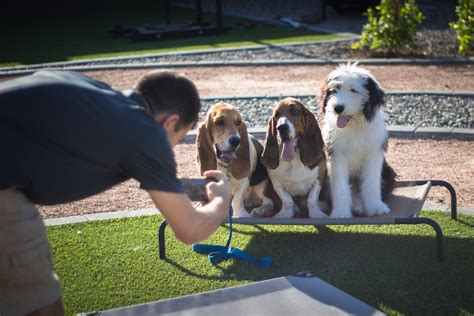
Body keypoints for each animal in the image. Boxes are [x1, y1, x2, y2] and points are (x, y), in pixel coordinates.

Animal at [318, 63, 396, 218]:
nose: (338, 108)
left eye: (353, 90)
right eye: (334, 90)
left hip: (389, 172)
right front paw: (341, 212)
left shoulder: (373, 153)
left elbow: (371, 182)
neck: (353, 125)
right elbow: (340, 185)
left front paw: (375, 207)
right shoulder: (337, 154)